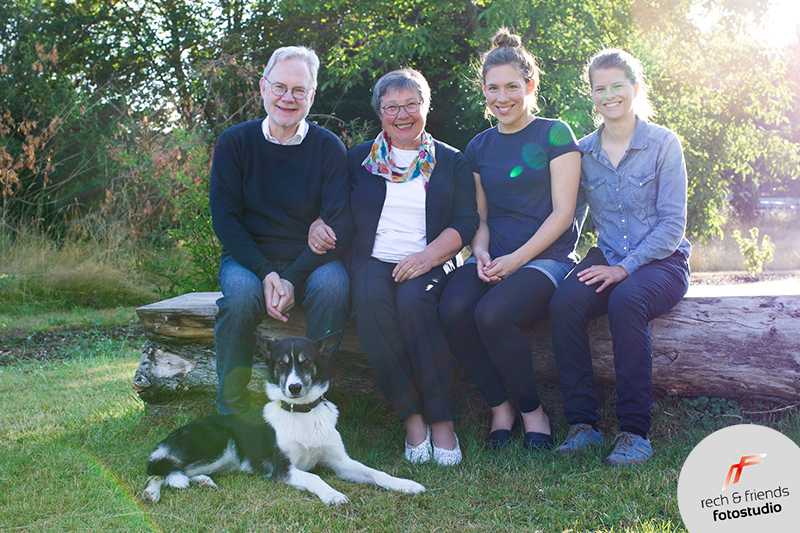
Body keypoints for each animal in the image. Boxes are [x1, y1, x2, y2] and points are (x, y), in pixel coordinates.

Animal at [141, 332, 424, 502]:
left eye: (307, 362)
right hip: (217, 445)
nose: (294, 388)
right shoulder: (283, 469)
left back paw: (203, 482)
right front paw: (332, 495)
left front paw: (406, 484)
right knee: (159, 471)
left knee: (177, 472)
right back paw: (151, 492)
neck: (303, 413)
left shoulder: (341, 462)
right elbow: (315, 477)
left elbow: (376, 473)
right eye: (281, 364)